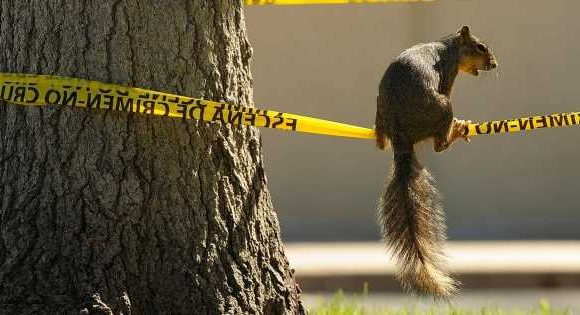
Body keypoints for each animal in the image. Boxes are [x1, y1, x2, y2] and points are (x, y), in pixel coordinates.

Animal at [376, 25, 498, 298]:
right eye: (480, 47)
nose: (495, 64)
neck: (449, 47)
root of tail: (400, 133)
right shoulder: (449, 73)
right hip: (443, 107)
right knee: (439, 144)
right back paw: (456, 130)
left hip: (380, 113)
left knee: (379, 142)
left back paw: (379, 138)